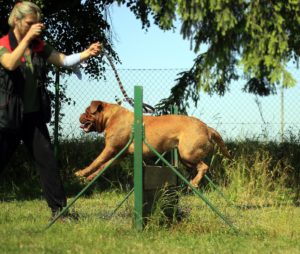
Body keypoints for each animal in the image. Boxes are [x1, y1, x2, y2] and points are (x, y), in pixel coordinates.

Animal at [75, 100, 232, 187]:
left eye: (87, 112)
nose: (79, 116)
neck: (110, 117)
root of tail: (207, 127)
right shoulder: (119, 154)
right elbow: (103, 166)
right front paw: (89, 177)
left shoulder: (110, 148)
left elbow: (96, 161)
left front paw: (81, 173)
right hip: (185, 157)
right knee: (196, 168)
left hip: (188, 153)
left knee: (204, 167)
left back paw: (193, 183)